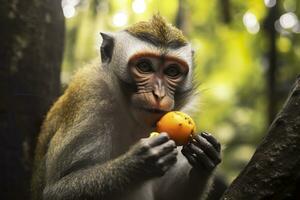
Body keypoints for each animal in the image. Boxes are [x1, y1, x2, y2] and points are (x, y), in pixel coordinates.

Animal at [30, 14, 221, 200]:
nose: (159, 94)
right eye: (144, 66)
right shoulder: (90, 101)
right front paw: (139, 163)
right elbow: (55, 191)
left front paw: (205, 157)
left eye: (172, 71)